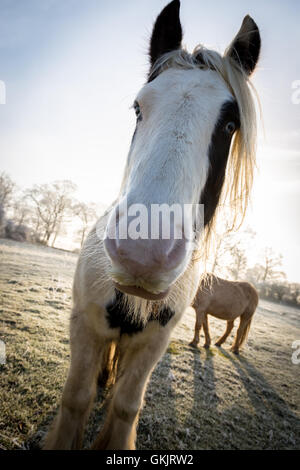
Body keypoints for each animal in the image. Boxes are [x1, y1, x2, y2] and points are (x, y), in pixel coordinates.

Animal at [43, 0, 262, 448]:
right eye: (138, 107)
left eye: (230, 125)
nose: (143, 254)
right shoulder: (84, 325)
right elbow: (76, 397)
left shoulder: (155, 343)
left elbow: (127, 406)